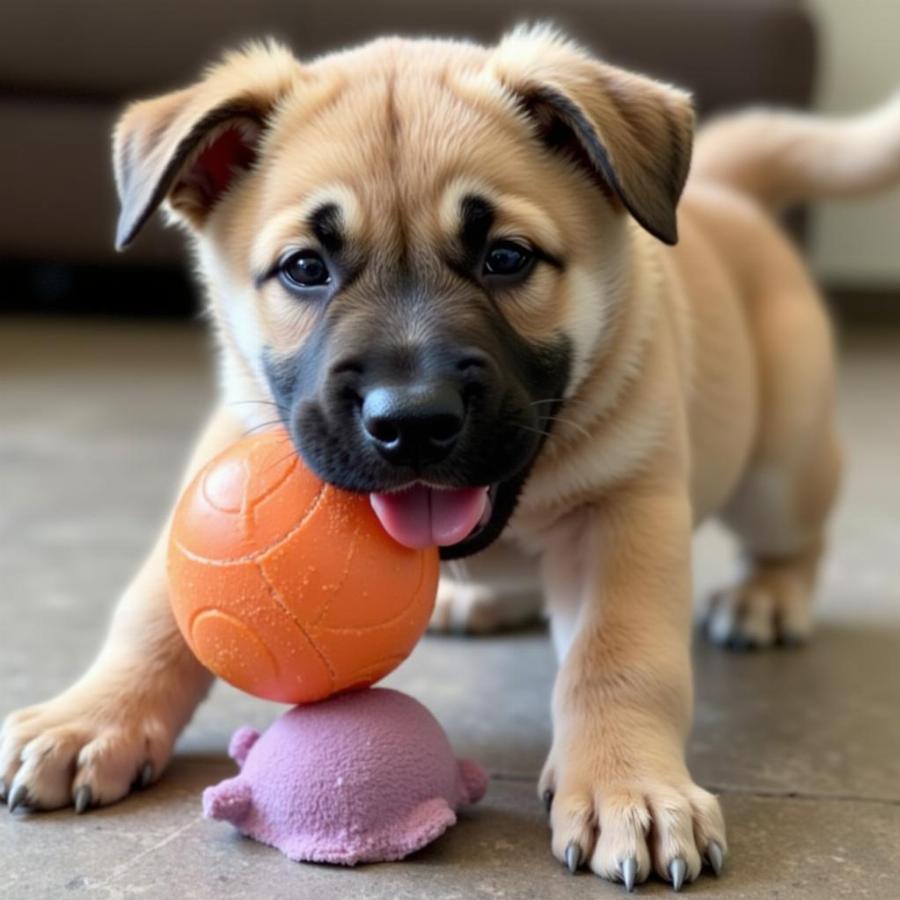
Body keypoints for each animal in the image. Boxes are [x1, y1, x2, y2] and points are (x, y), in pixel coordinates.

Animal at [1, 26, 900, 892]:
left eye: (506, 257)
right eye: (305, 268)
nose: (412, 424)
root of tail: (723, 188)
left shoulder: (627, 509)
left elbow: (618, 658)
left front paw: (630, 788)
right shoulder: (224, 463)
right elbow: (151, 613)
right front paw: (91, 719)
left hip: (781, 468)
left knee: (794, 537)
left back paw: (764, 598)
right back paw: (479, 599)